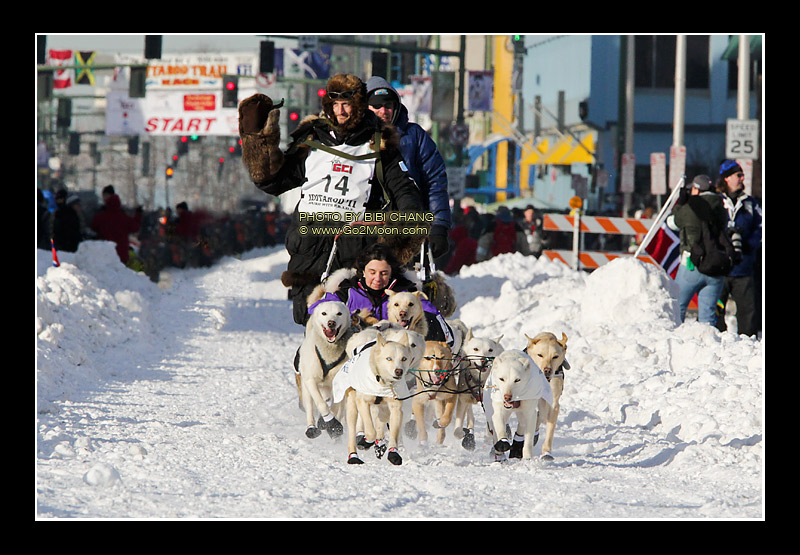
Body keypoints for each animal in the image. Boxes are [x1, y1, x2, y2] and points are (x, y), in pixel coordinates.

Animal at [296, 302, 354, 440]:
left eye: (339, 313)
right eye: (324, 313)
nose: (331, 323)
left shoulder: (339, 384)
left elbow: (335, 406)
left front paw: (332, 426)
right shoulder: (311, 380)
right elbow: (321, 403)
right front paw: (331, 423)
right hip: (306, 388)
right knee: (310, 406)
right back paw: (311, 427)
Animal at [334, 332, 416, 466]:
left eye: (404, 358)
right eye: (389, 358)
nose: (399, 371)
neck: (382, 382)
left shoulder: (395, 407)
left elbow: (393, 432)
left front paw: (393, 452)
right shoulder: (363, 402)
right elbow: (370, 431)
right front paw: (368, 439)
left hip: (382, 409)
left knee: (380, 422)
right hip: (352, 408)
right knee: (353, 430)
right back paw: (354, 456)